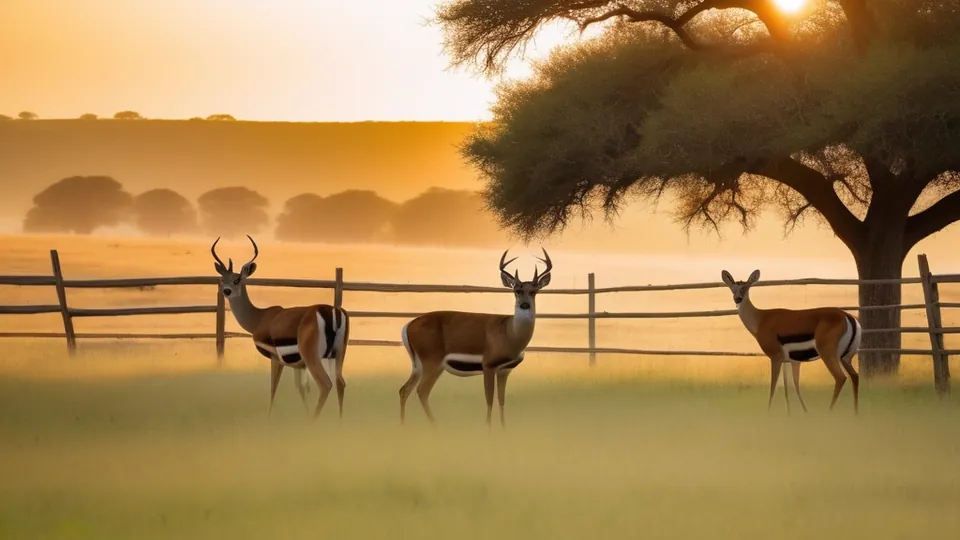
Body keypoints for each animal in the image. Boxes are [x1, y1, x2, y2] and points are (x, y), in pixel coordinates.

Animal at [211, 236, 350, 420]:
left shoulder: (275, 358)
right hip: (338, 354)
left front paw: (269, 417)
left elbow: (273, 389)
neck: (259, 319)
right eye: (222, 279)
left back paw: (314, 421)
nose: (226, 291)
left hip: (313, 356)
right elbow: (302, 389)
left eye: (237, 279)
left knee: (326, 384)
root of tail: (333, 312)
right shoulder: (299, 365)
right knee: (340, 383)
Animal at [399, 248, 553, 428]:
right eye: (516, 290)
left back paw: (403, 425)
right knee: (422, 391)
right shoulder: (488, 365)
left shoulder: (504, 370)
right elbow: (489, 400)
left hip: (418, 364)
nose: (524, 305)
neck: (510, 334)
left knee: (404, 389)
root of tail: (408, 326)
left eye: (534, 290)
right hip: (432, 361)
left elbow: (501, 401)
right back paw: (436, 426)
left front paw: (504, 429)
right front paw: (488, 429)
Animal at [721, 269, 862, 414]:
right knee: (855, 376)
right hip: (846, 357)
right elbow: (790, 387)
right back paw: (856, 413)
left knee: (840, 378)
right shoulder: (790, 361)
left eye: (745, 287)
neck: (761, 320)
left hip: (828, 354)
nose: (737, 299)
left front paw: (769, 411)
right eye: (732, 288)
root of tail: (847, 316)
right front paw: (794, 413)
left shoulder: (776, 358)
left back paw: (829, 412)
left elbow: (774, 387)